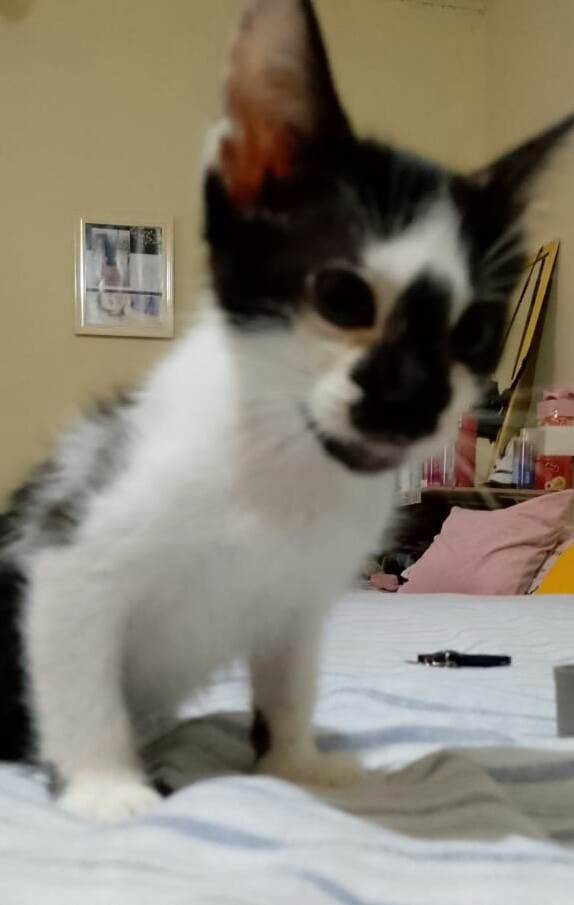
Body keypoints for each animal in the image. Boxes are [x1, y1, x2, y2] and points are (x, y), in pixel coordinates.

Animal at [0, 0, 572, 822]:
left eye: (474, 331)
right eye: (342, 297)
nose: (413, 398)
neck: (283, 465)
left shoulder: (298, 601)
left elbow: (289, 678)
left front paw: (297, 764)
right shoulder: (68, 544)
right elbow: (81, 679)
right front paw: (108, 789)